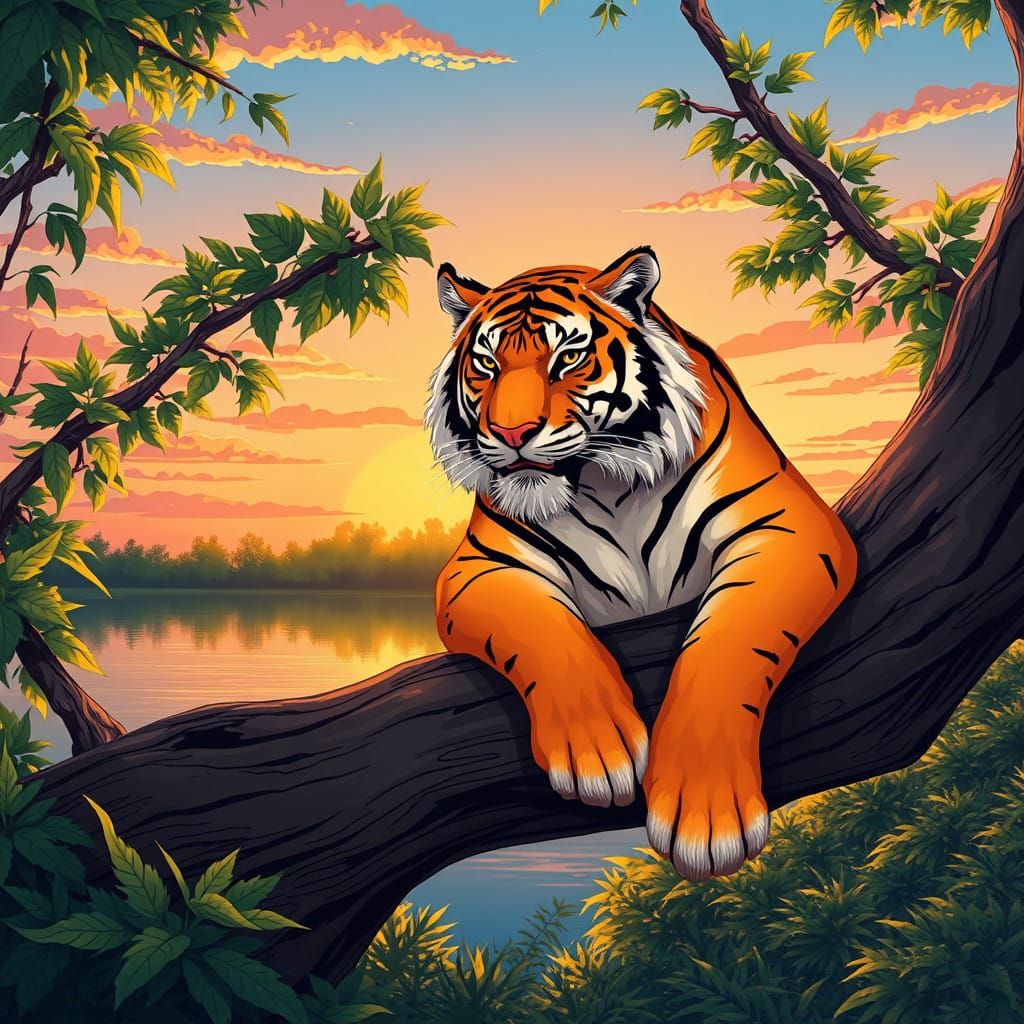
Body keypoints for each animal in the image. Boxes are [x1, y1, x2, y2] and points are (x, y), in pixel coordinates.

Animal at [427, 247, 857, 881]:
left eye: (568, 358)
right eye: (486, 364)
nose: (510, 432)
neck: (605, 487)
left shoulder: (787, 525)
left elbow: (726, 643)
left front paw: (708, 817)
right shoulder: (481, 566)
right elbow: (546, 631)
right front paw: (596, 750)